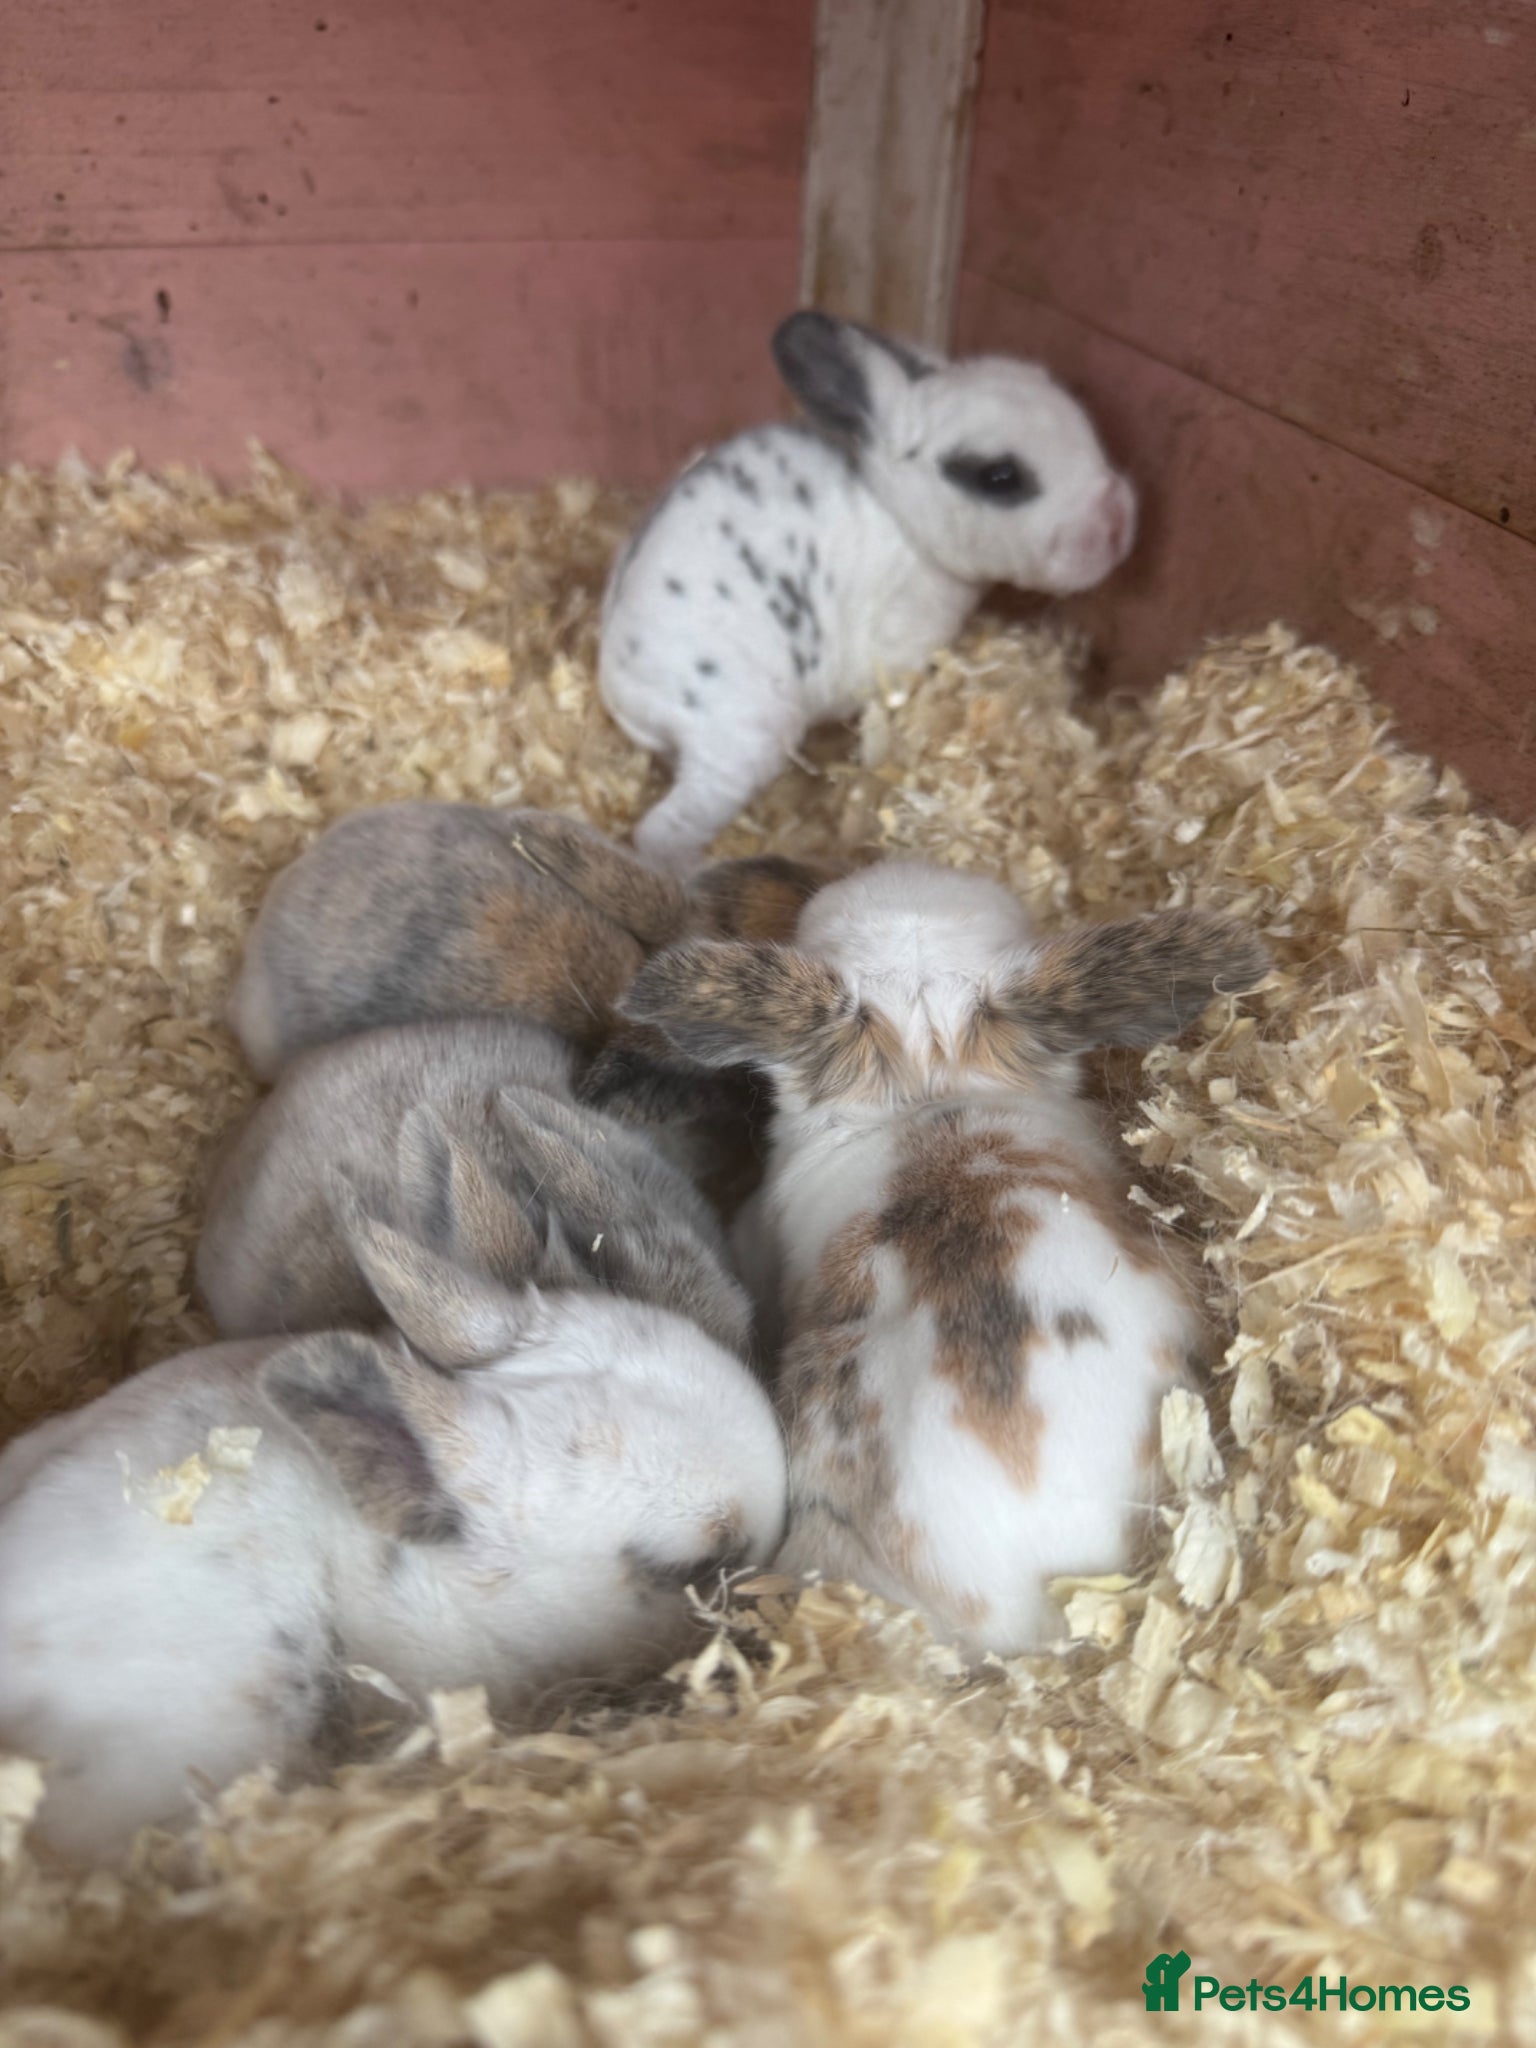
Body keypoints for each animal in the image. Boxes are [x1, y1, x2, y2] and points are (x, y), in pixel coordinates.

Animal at [599, 310, 1137, 868]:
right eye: (999, 476)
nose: (1119, 522)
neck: (900, 519)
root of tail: (622, 689)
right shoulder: (893, 661)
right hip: (742, 737)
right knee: (662, 831)